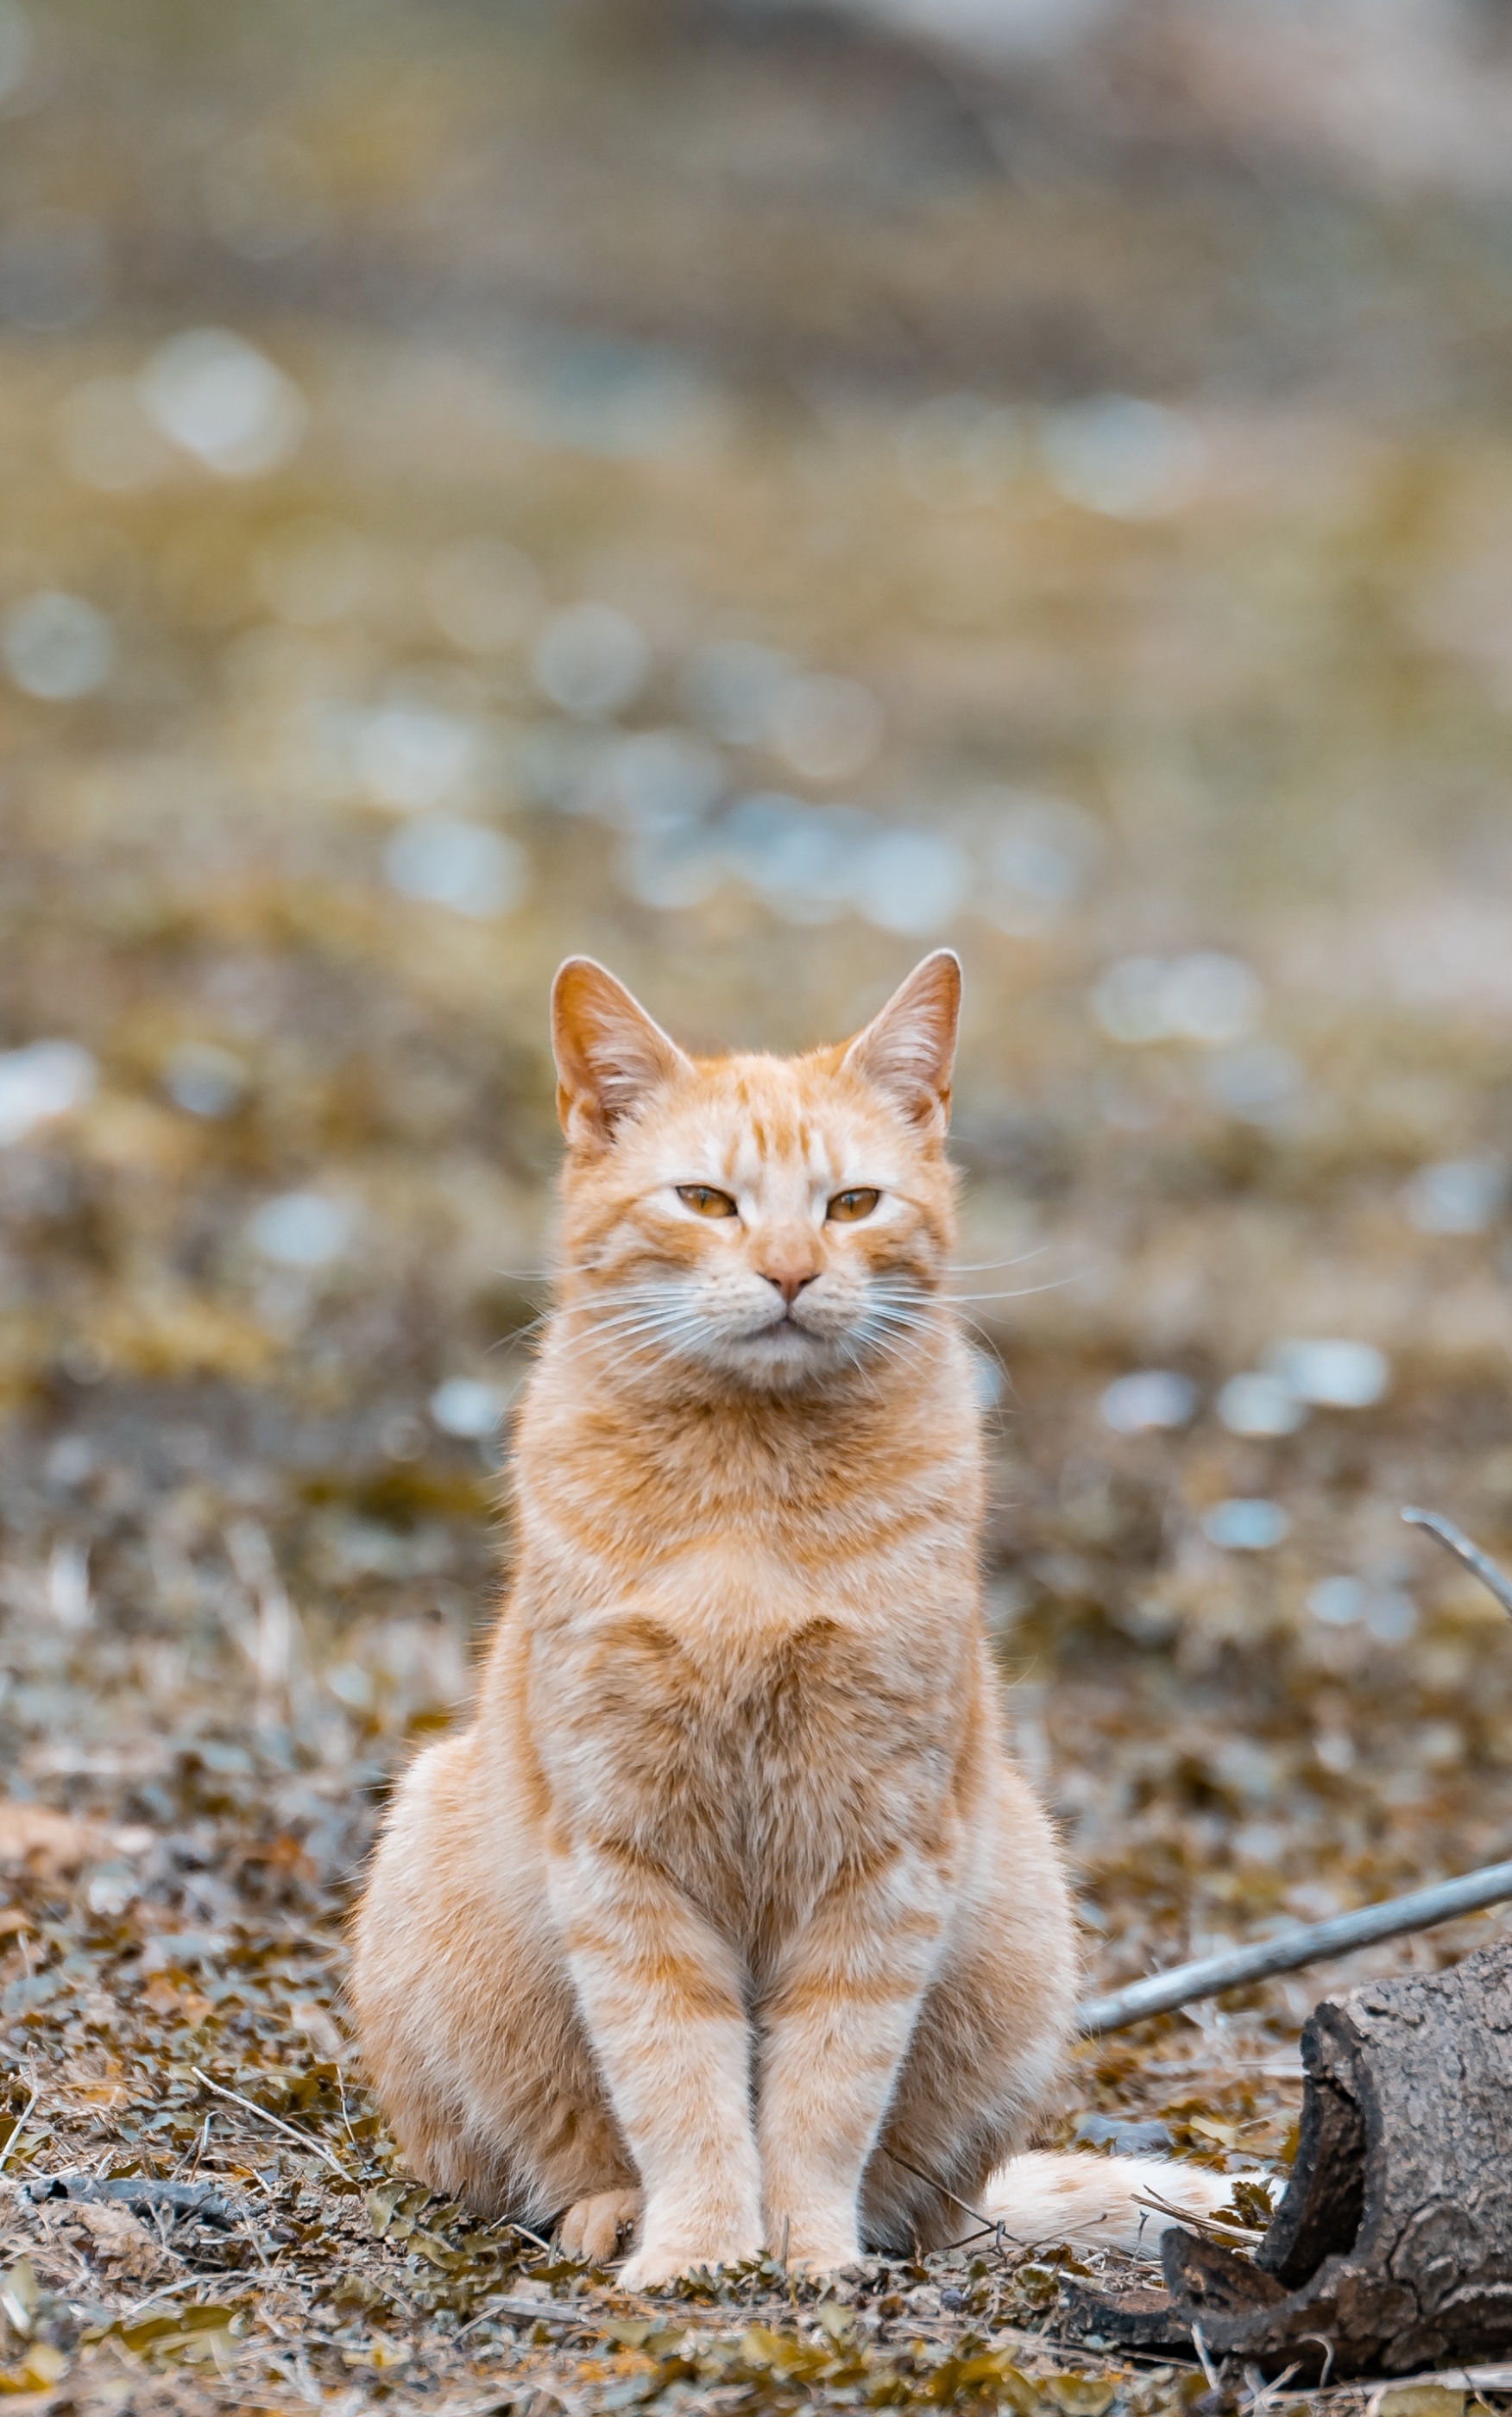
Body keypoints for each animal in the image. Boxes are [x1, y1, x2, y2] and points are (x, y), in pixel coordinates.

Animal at [352, 947, 1226, 2281]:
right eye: (709, 1200)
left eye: (852, 1202)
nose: (789, 1272)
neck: (750, 1496)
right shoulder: (626, 1853)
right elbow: (679, 2074)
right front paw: (702, 2254)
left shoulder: (883, 1855)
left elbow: (823, 2090)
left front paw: (809, 2257)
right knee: (531, 2162)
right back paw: (612, 2212)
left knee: (923, 2195)